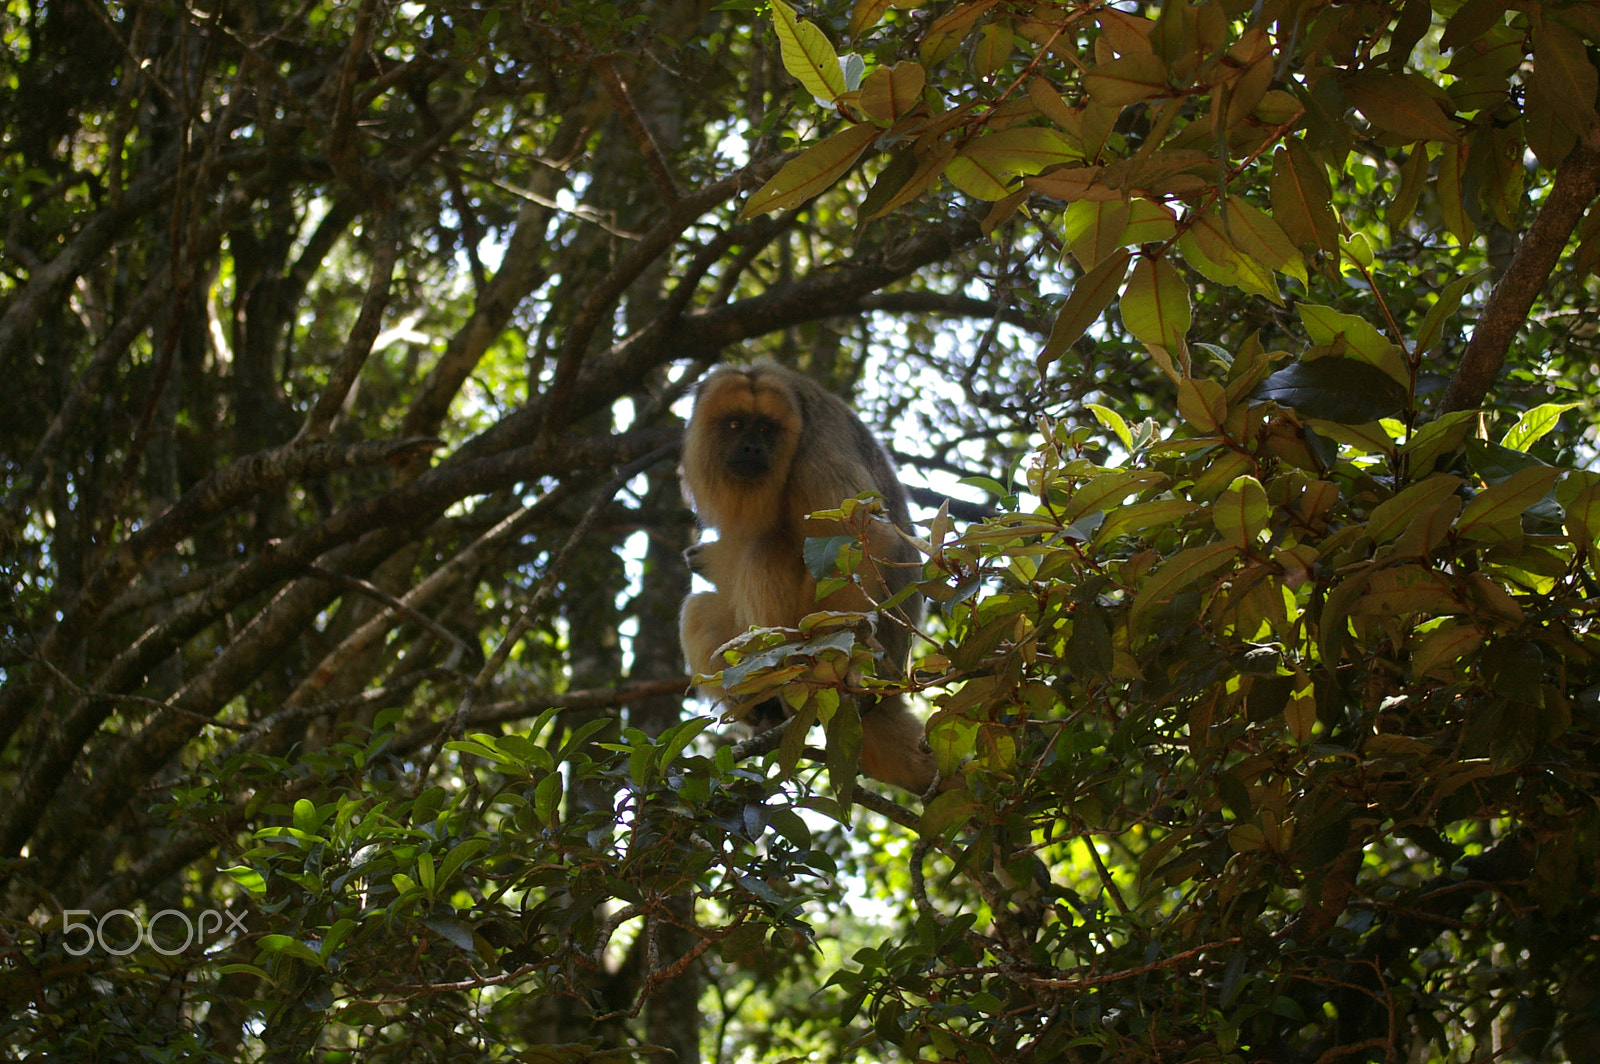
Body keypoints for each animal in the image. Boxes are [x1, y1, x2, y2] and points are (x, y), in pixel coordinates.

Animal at [678, 360, 939, 795]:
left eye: (767, 428)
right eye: (735, 424)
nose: (751, 448)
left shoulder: (818, 455)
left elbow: (867, 536)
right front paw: (704, 557)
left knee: (764, 548)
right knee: (700, 604)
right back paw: (759, 706)